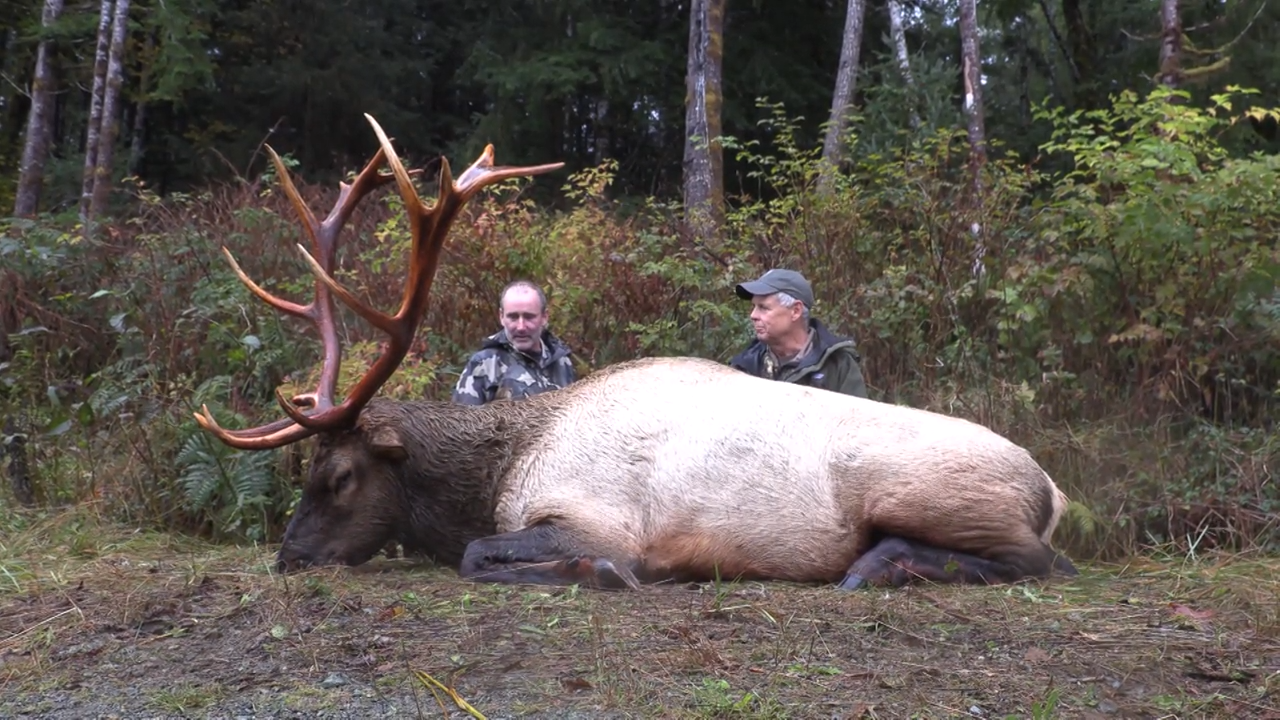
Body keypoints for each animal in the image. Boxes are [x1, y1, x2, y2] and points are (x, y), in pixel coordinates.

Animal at [194, 114, 1080, 591]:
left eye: (339, 476)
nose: (288, 558)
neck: (497, 471)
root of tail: (1050, 487)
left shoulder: (598, 520)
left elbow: (483, 556)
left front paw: (598, 577)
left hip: (926, 490)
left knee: (1042, 560)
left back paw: (881, 565)